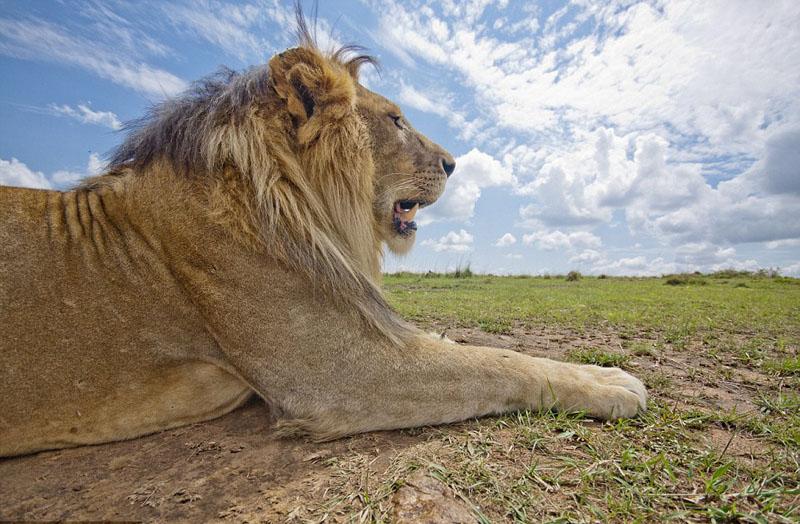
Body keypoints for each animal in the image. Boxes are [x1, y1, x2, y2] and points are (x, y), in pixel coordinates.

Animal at [0, 15, 644, 458]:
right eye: (396, 120)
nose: (455, 163)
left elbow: (469, 347)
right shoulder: (335, 376)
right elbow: (495, 364)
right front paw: (610, 380)